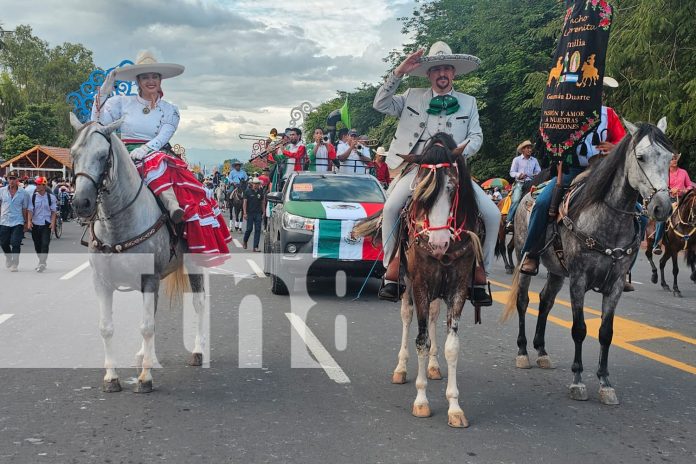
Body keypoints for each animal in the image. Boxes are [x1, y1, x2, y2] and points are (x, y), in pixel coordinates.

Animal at [69, 114, 208, 394]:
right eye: (73, 154)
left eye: (103, 155)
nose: (81, 203)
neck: (118, 226)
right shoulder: (102, 282)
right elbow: (107, 328)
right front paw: (111, 378)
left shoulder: (149, 279)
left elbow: (146, 327)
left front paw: (145, 379)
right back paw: (146, 356)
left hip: (194, 263)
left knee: (198, 304)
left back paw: (197, 352)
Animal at [500, 118, 676, 404]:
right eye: (640, 157)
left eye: (669, 158)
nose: (663, 207)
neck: (607, 219)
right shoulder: (579, 280)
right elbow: (580, 329)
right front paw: (578, 380)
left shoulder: (615, 285)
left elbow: (605, 332)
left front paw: (605, 383)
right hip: (522, 255)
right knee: (524, 301)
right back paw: (524, 352)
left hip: (557, 270)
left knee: (545, 301)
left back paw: (542, 351)